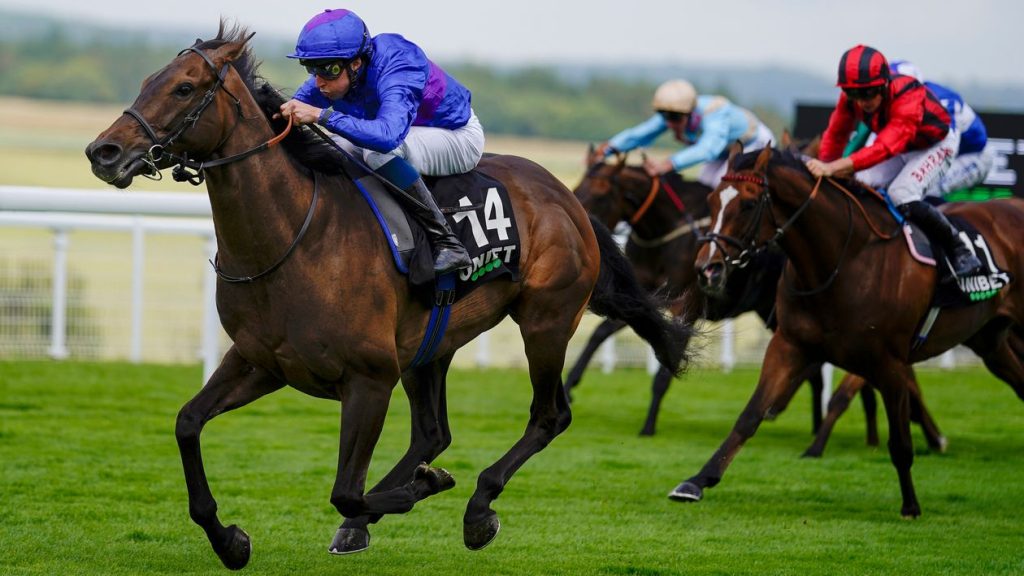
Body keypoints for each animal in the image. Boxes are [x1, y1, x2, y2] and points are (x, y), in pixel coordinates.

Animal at [84, 24, 693, 568]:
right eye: (148, 80)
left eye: (184, 88)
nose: (103, 151)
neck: (294, 238)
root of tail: (566, 197)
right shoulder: (261, 362)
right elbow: (188, 423)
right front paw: (230, 540)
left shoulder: (368, 378)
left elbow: (345, 489)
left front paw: (421, 492)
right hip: (432, 344)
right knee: (432, 432)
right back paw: (377, 516)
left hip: (545, 322)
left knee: (548, 415)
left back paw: (478, 507)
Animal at [568, 152, 825, 436]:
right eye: (578, 187)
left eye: (601, 194)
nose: (579, 222)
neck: (663, 236)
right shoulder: (641, 300)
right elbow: (599, 334)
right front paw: (569, 387)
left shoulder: (687, 306)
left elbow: (666, 367)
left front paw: (648, 426)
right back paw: (813, 425)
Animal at [673, 143, 1024, 517]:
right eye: (712, 200)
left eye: (749, 204)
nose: (707, 269)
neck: (843, 262)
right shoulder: (789, 345)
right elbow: (750, 414)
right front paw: (697, 481)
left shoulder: (889, 363)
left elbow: (899, 440)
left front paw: (911, 506)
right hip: (989, 340)